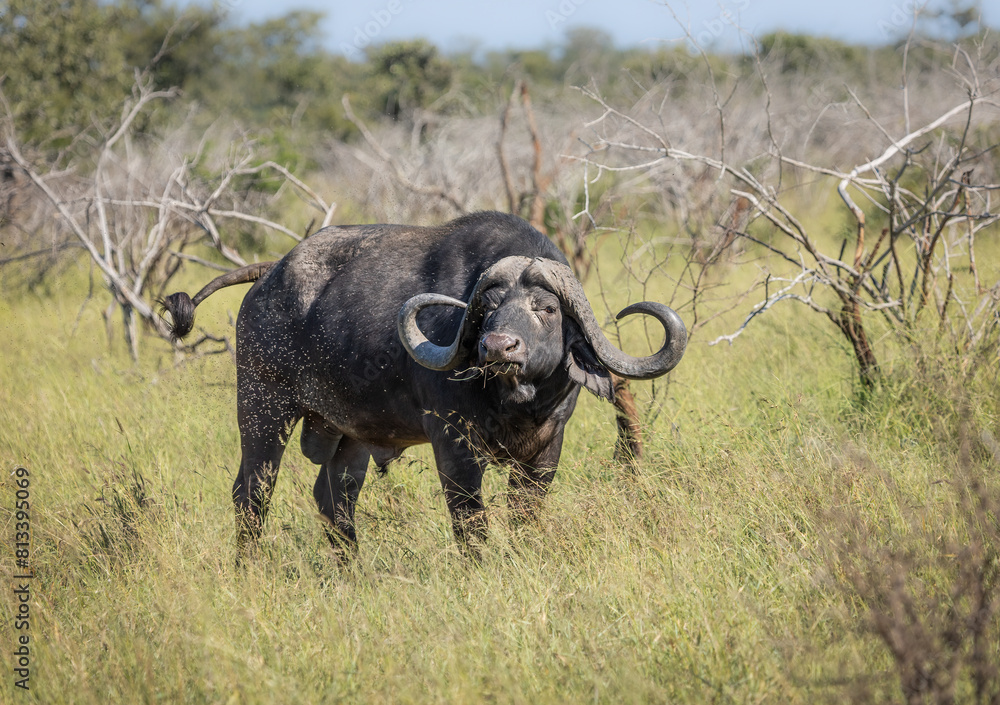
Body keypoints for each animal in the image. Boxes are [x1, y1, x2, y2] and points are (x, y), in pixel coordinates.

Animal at [162, 211, 686, 557]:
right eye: (486, 308)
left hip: (348, 434)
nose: (498, 346)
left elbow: (525, 516)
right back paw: (249, 567)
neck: (515, 402)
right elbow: (470, 520)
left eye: (547, 307)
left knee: (334, 498)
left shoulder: (546, 449)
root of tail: (269, 274)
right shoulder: (452, 444)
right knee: (252, 491)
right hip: (263, 407)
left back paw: (351, 572)